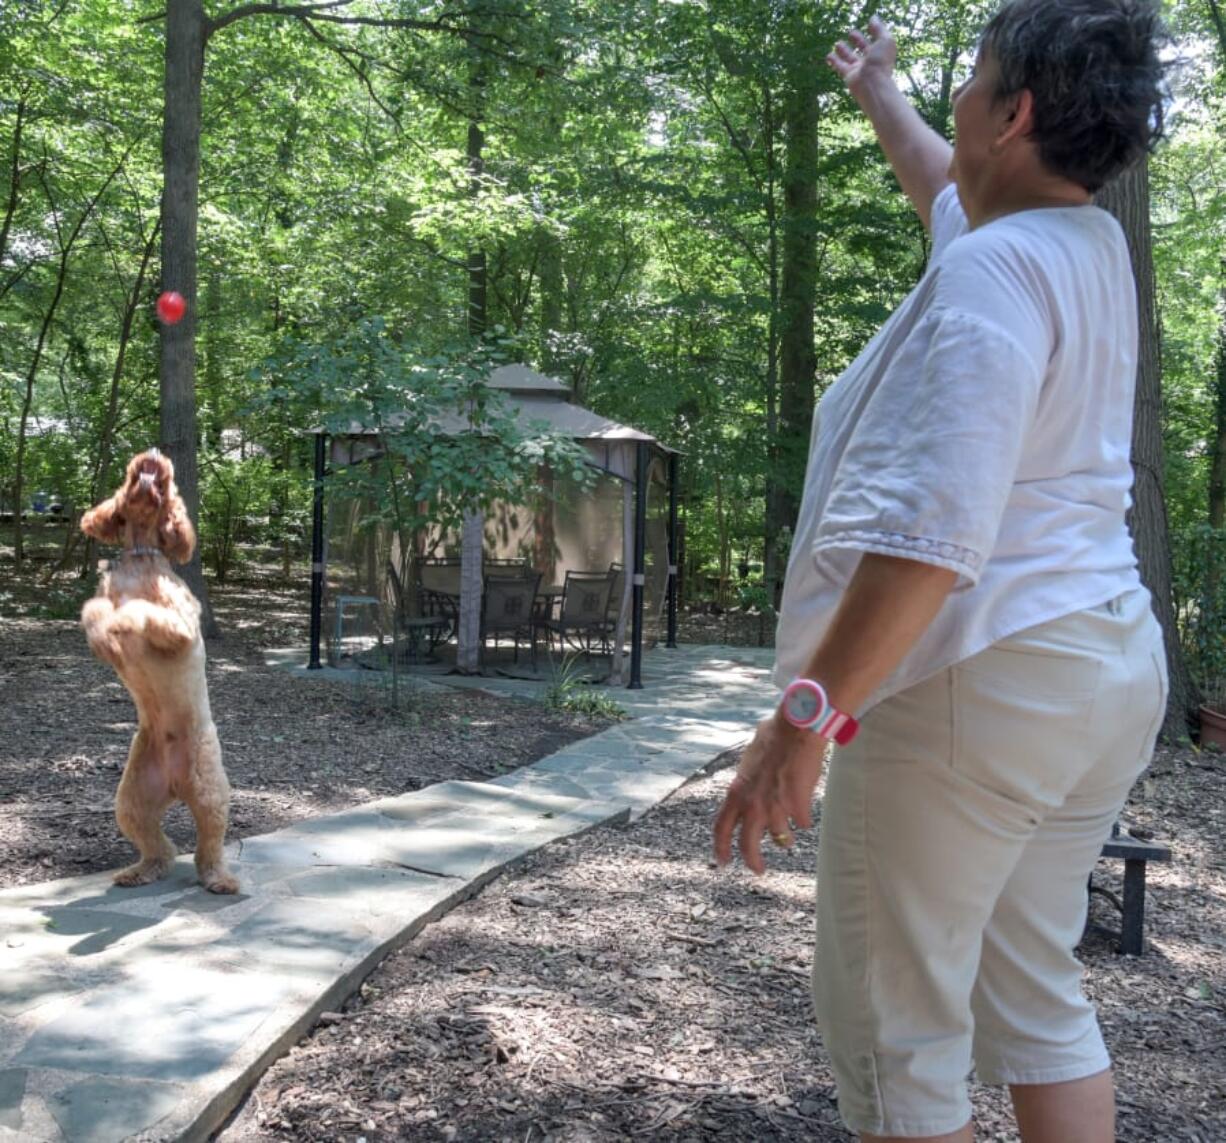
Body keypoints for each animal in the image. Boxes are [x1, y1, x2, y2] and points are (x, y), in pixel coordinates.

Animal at [79, 446, 239, 892]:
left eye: (168, 484)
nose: (152, 454)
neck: (140, 558)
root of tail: (174, 782)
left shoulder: (180, 626)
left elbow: (138, 609)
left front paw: (118, 626)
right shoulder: (102, 598)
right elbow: (95, 609)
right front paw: (104, 635)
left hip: (208, 790)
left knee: (209, 845)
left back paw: (219, 879)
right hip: (132, 800)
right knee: (159, 847)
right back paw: (141, 871)